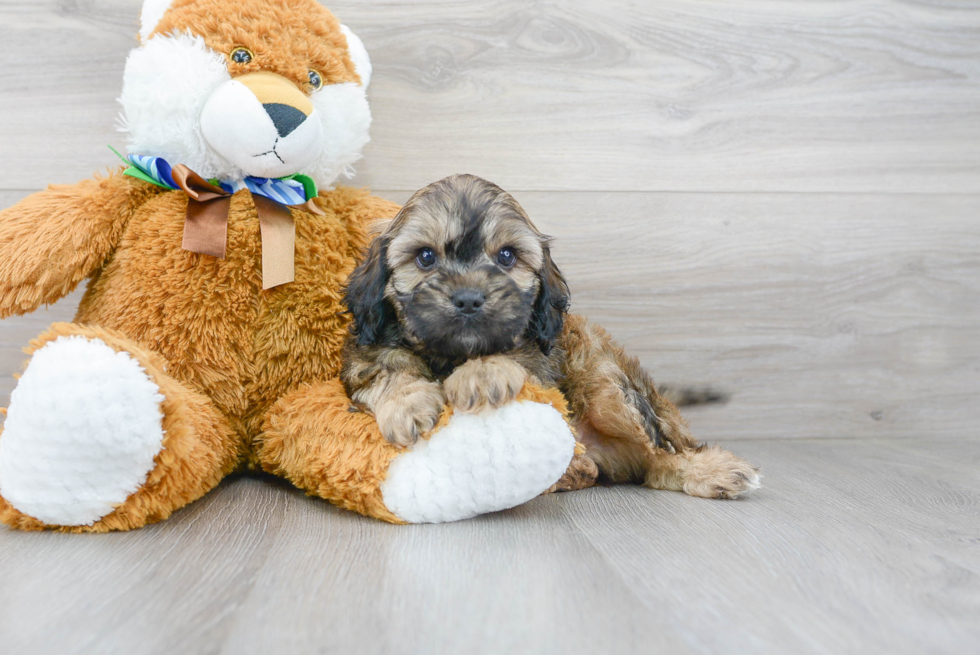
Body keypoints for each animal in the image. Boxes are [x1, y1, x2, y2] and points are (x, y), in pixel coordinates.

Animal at [340, 177, 760, 500]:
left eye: (507, 256)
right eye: (425, 257)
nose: (469, 299)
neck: (449, 355)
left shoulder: (545, 355)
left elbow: (518, 357)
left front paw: (481, 374)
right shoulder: (364, 355)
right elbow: (387, 371)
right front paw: (407, 405)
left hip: (607, 387)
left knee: (657, 452)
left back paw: (707, 470)